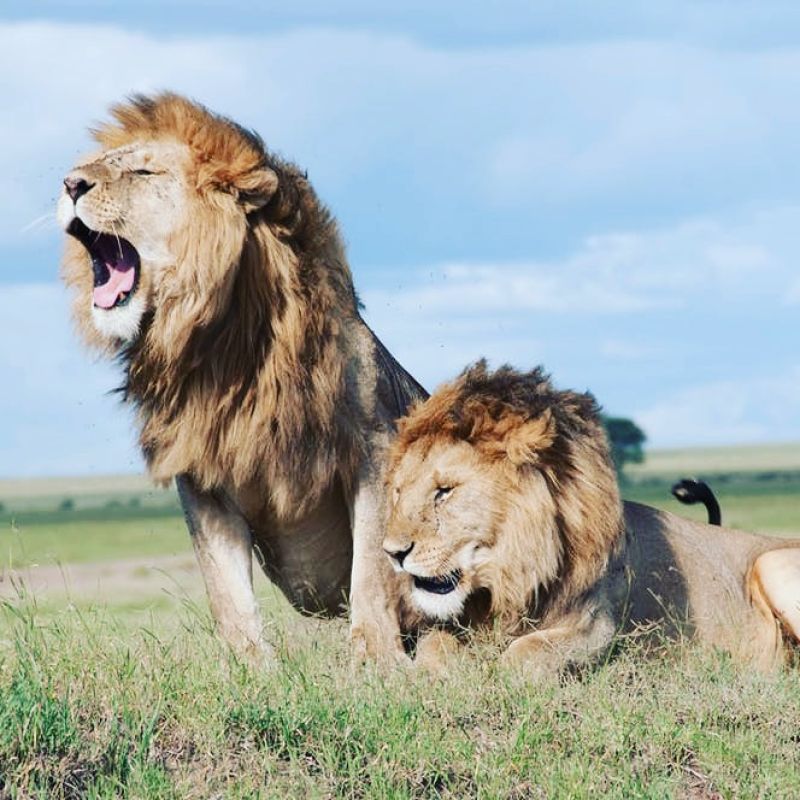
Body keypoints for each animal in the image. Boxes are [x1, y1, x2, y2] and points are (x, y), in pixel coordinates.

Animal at [58, 93, 427, 665]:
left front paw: (377, 662)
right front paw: (251, 669)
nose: (70, 184)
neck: (221, 347)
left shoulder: (374, 448)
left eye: (143, 171)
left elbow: (371, 570)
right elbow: (225, 588)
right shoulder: (201, 476)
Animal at [383, 361, 800, 675]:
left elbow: (524, 654)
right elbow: (435, 646)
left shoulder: (596, 626)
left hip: (770, 563)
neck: (512, 576)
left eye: (445, 491)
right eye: (400, 491)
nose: (392, 553)